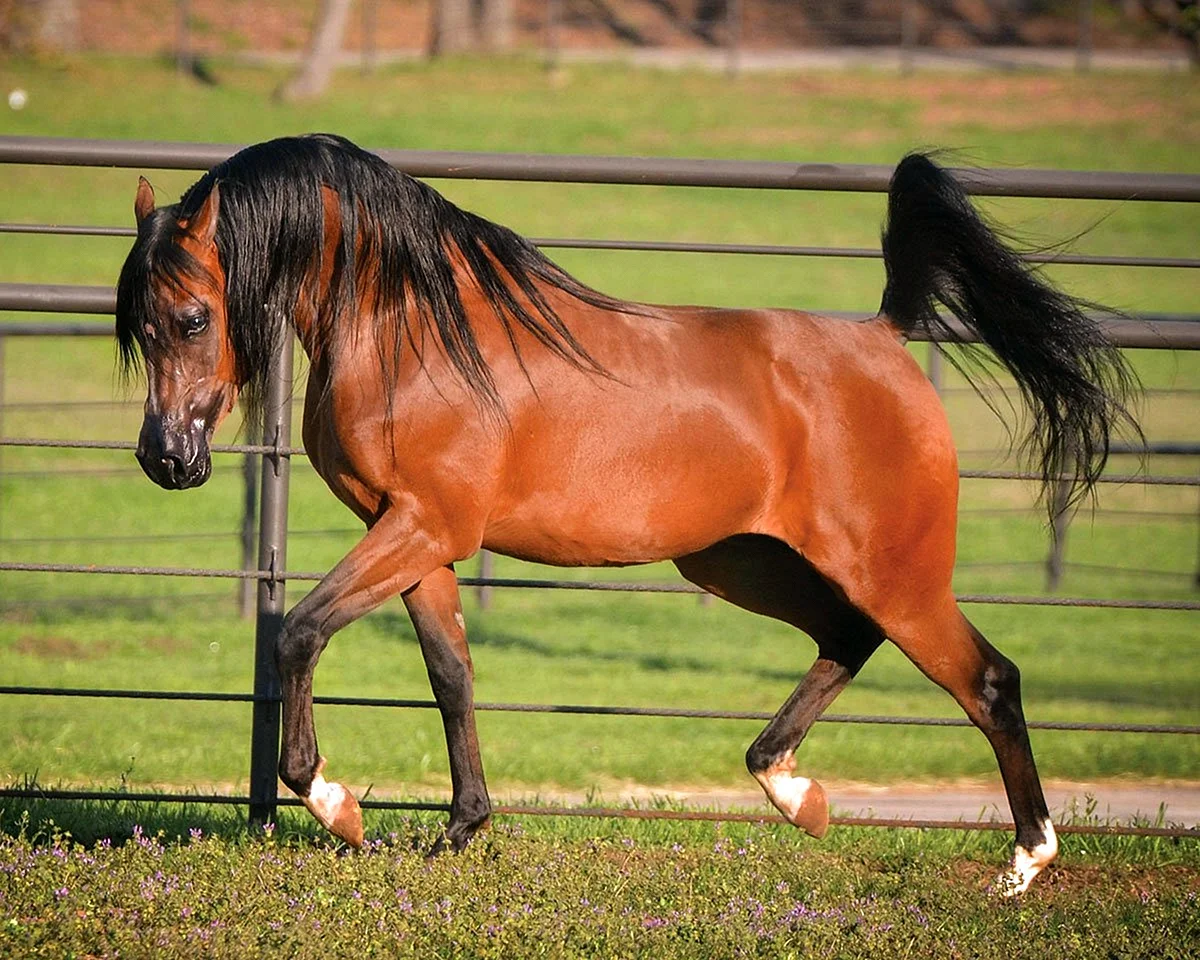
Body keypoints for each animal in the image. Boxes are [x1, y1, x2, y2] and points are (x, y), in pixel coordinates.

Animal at [117, 131, 1137, 897]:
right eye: (135, 325)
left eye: (195, 315)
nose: (165, 460)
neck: (412, 331)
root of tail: (887, 339)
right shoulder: (419, 539)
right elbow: (452, 675)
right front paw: (459, 830)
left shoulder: (421, 527)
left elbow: (299, 631)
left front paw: (337, 807)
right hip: (742, 561)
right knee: (848, 638)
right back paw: (796, 793)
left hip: (895, 573)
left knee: (989, 681)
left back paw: (1025, 864)